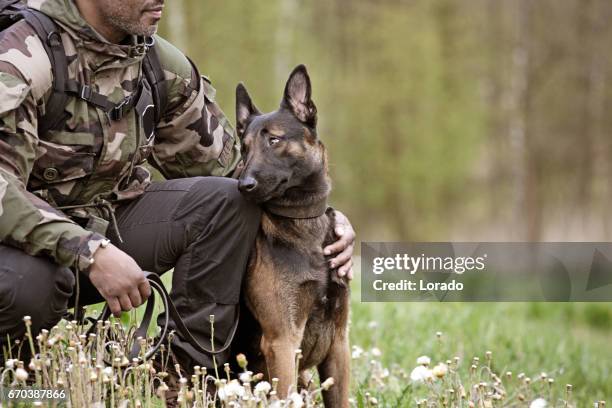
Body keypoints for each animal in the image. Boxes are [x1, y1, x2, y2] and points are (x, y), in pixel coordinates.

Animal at [233, 65, 350, 406]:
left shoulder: (339, 344)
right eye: (244, 148)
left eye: (274, 140)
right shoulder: (282, 342)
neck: (302, 221)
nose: (243, 185)